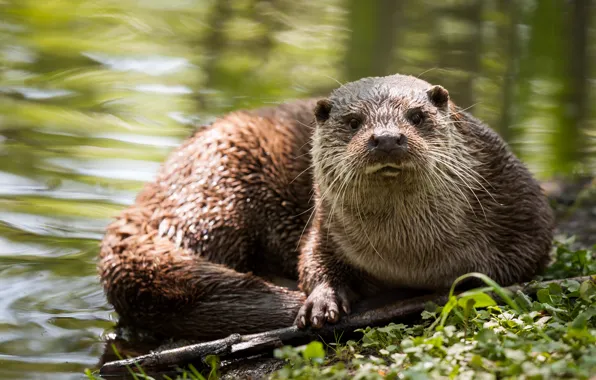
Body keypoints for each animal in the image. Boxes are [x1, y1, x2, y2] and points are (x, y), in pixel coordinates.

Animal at [98, 72, 556, 340]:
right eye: (353, 122)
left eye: (417, 115)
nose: (386, 138)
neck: (411, 257)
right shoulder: (324, 227)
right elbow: (313, 262)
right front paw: (321, 302)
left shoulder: (522, 205)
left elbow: (523, 260)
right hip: (218, 188)